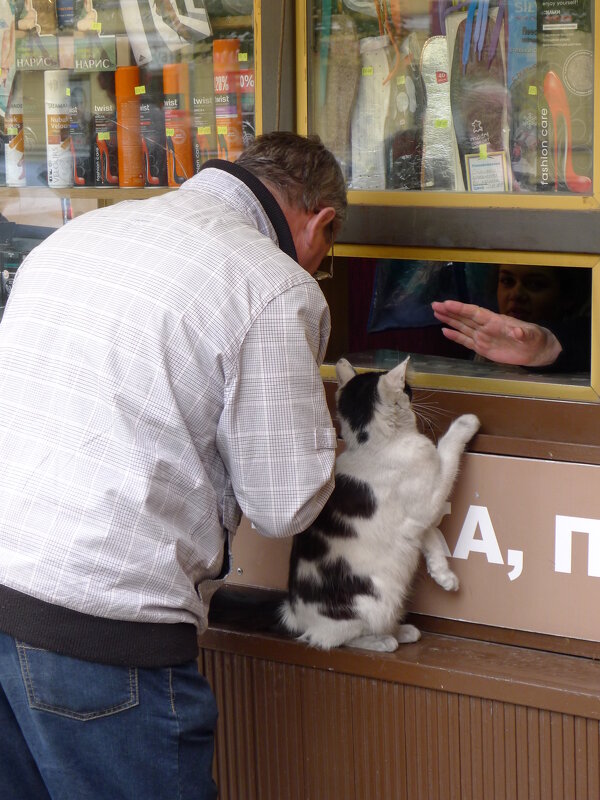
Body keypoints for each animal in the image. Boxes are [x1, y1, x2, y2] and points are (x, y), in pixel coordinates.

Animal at [278, 360, 480, 652]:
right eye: (408, 390)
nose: (414, 393)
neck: (371, 447)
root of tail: (295, 615)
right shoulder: (430, 498)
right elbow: (448, 448)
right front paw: (466, 423)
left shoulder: (416, 521)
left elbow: (432, 541)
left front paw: (444, 576)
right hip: (373, 602)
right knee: (334, 639)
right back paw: (385, 640)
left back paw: (401, 631)